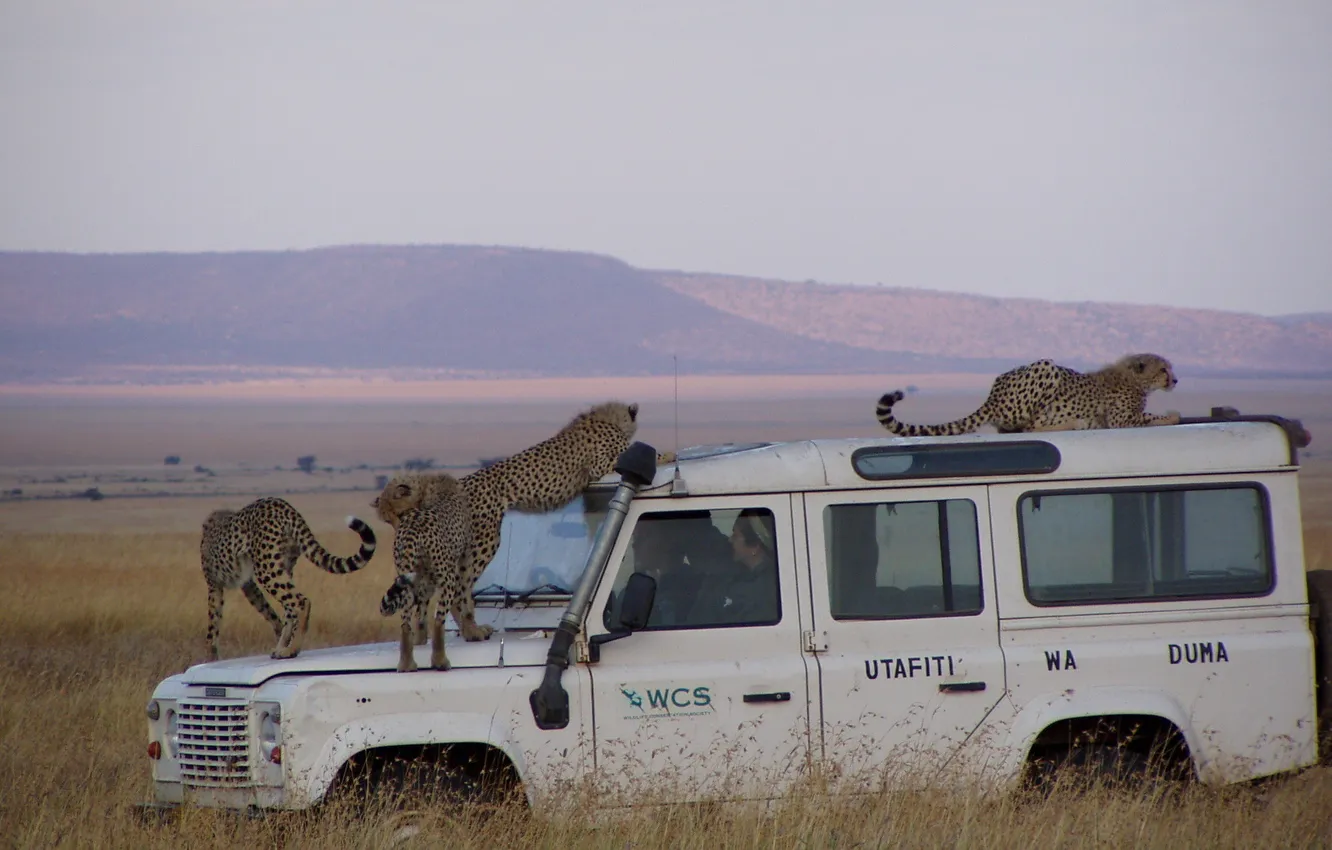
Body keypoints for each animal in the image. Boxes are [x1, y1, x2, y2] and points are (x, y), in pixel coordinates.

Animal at [200, 496, 377, 661]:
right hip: (283, 566)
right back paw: (282, 648)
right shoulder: (248, 584)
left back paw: (292, 650)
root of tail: (283, 505)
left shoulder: (215, 584)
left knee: (300, 602)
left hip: (266, 569)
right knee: (290, 609)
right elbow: (266, 610)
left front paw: (210, 657)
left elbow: (212, 620)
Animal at [373, 399, 642, 672]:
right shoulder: (602, 465)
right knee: (459, 590)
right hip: (485, 542)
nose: (397, 526)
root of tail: (460, 483)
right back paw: (469, 634)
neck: (608, 416)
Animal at [875, 353, 1180, 437]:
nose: (1176, 379)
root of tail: (993, 394)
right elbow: (1149, 417)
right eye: (1163, 369)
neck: (1134, 377)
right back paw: (1076, 423)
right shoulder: (1120, 419)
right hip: (1047, 366)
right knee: (1028, 426)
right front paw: (1172, 415)